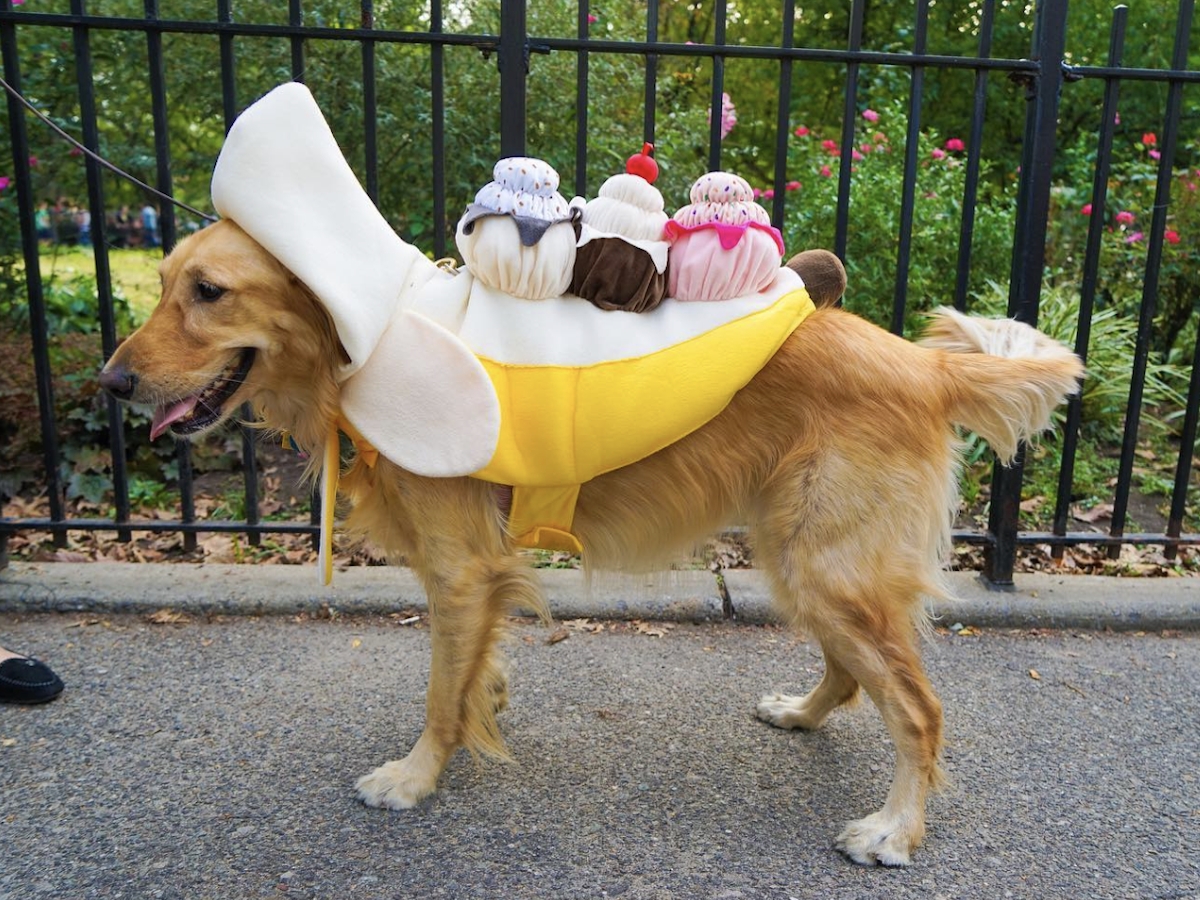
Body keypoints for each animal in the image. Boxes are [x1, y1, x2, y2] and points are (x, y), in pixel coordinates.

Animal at [100, 219, 1082, 865]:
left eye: (209, 292)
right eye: (164, 283)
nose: (110, 383)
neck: (366, 339)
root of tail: (928, 364)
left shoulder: (461, 567)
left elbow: (437, 698)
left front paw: (416, 778)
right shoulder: (472, 573)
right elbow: (467, 672)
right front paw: (486, 700)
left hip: (826, 567)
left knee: (919, 711)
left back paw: (894, 828)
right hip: (803, 560)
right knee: (852, 674)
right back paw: (802, 714)